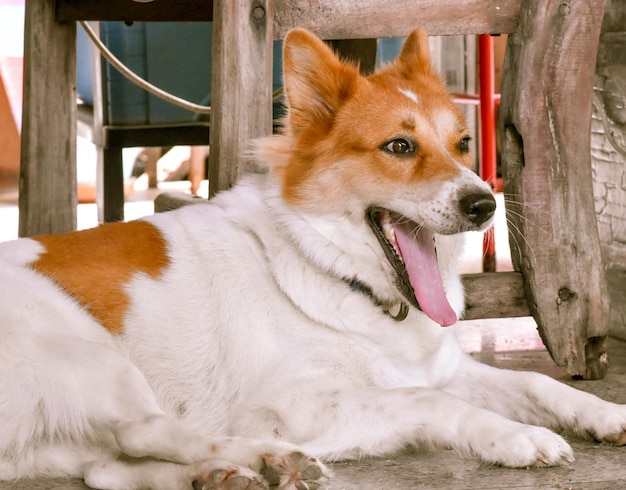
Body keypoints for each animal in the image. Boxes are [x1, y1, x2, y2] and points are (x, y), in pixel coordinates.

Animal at [1, 27, 624, 490]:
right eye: (399, 146)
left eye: (464, 144)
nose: (484, 205)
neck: (343, 278)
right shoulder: (297, 406)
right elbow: (430, 400)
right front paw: (517, 436)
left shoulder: (450, 369)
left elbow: (537, 384)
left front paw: (604, 414)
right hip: (91, 355)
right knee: (143, 432)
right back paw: (263, 457)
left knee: (108, 469)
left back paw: (227, 473)